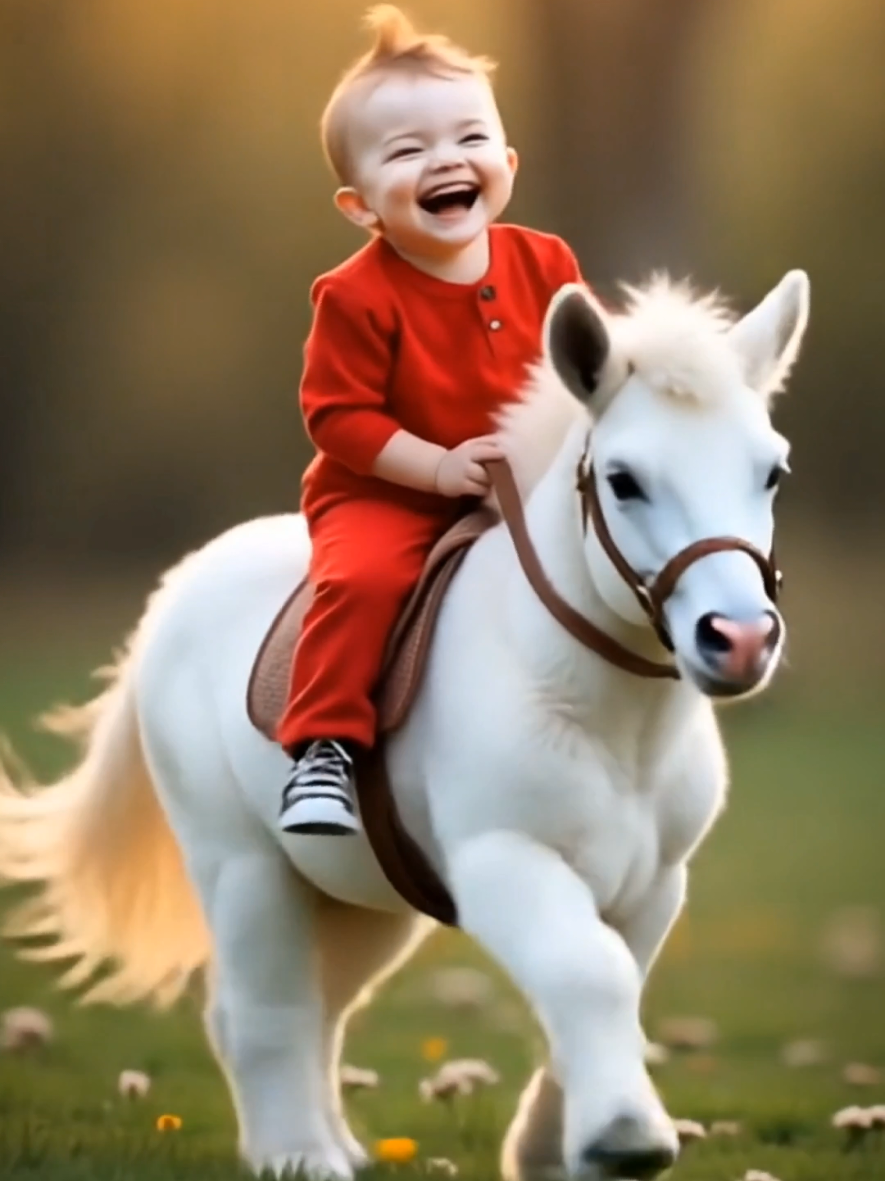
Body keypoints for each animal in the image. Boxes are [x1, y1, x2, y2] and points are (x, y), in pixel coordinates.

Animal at [0, 270, 809, 1181]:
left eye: (771, 472)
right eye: (624, 479)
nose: (737, 639)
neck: (602, 714)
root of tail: (176, 590)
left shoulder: (653, 883)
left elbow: (606, 991)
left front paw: (550, 1149)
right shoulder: (503, 859)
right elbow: (587, 973)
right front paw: (622, 1135)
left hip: (355, 899)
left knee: (317, 1008)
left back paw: (336, 1145)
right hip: (243, 868)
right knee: (262, 1010)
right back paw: (297, 1153)